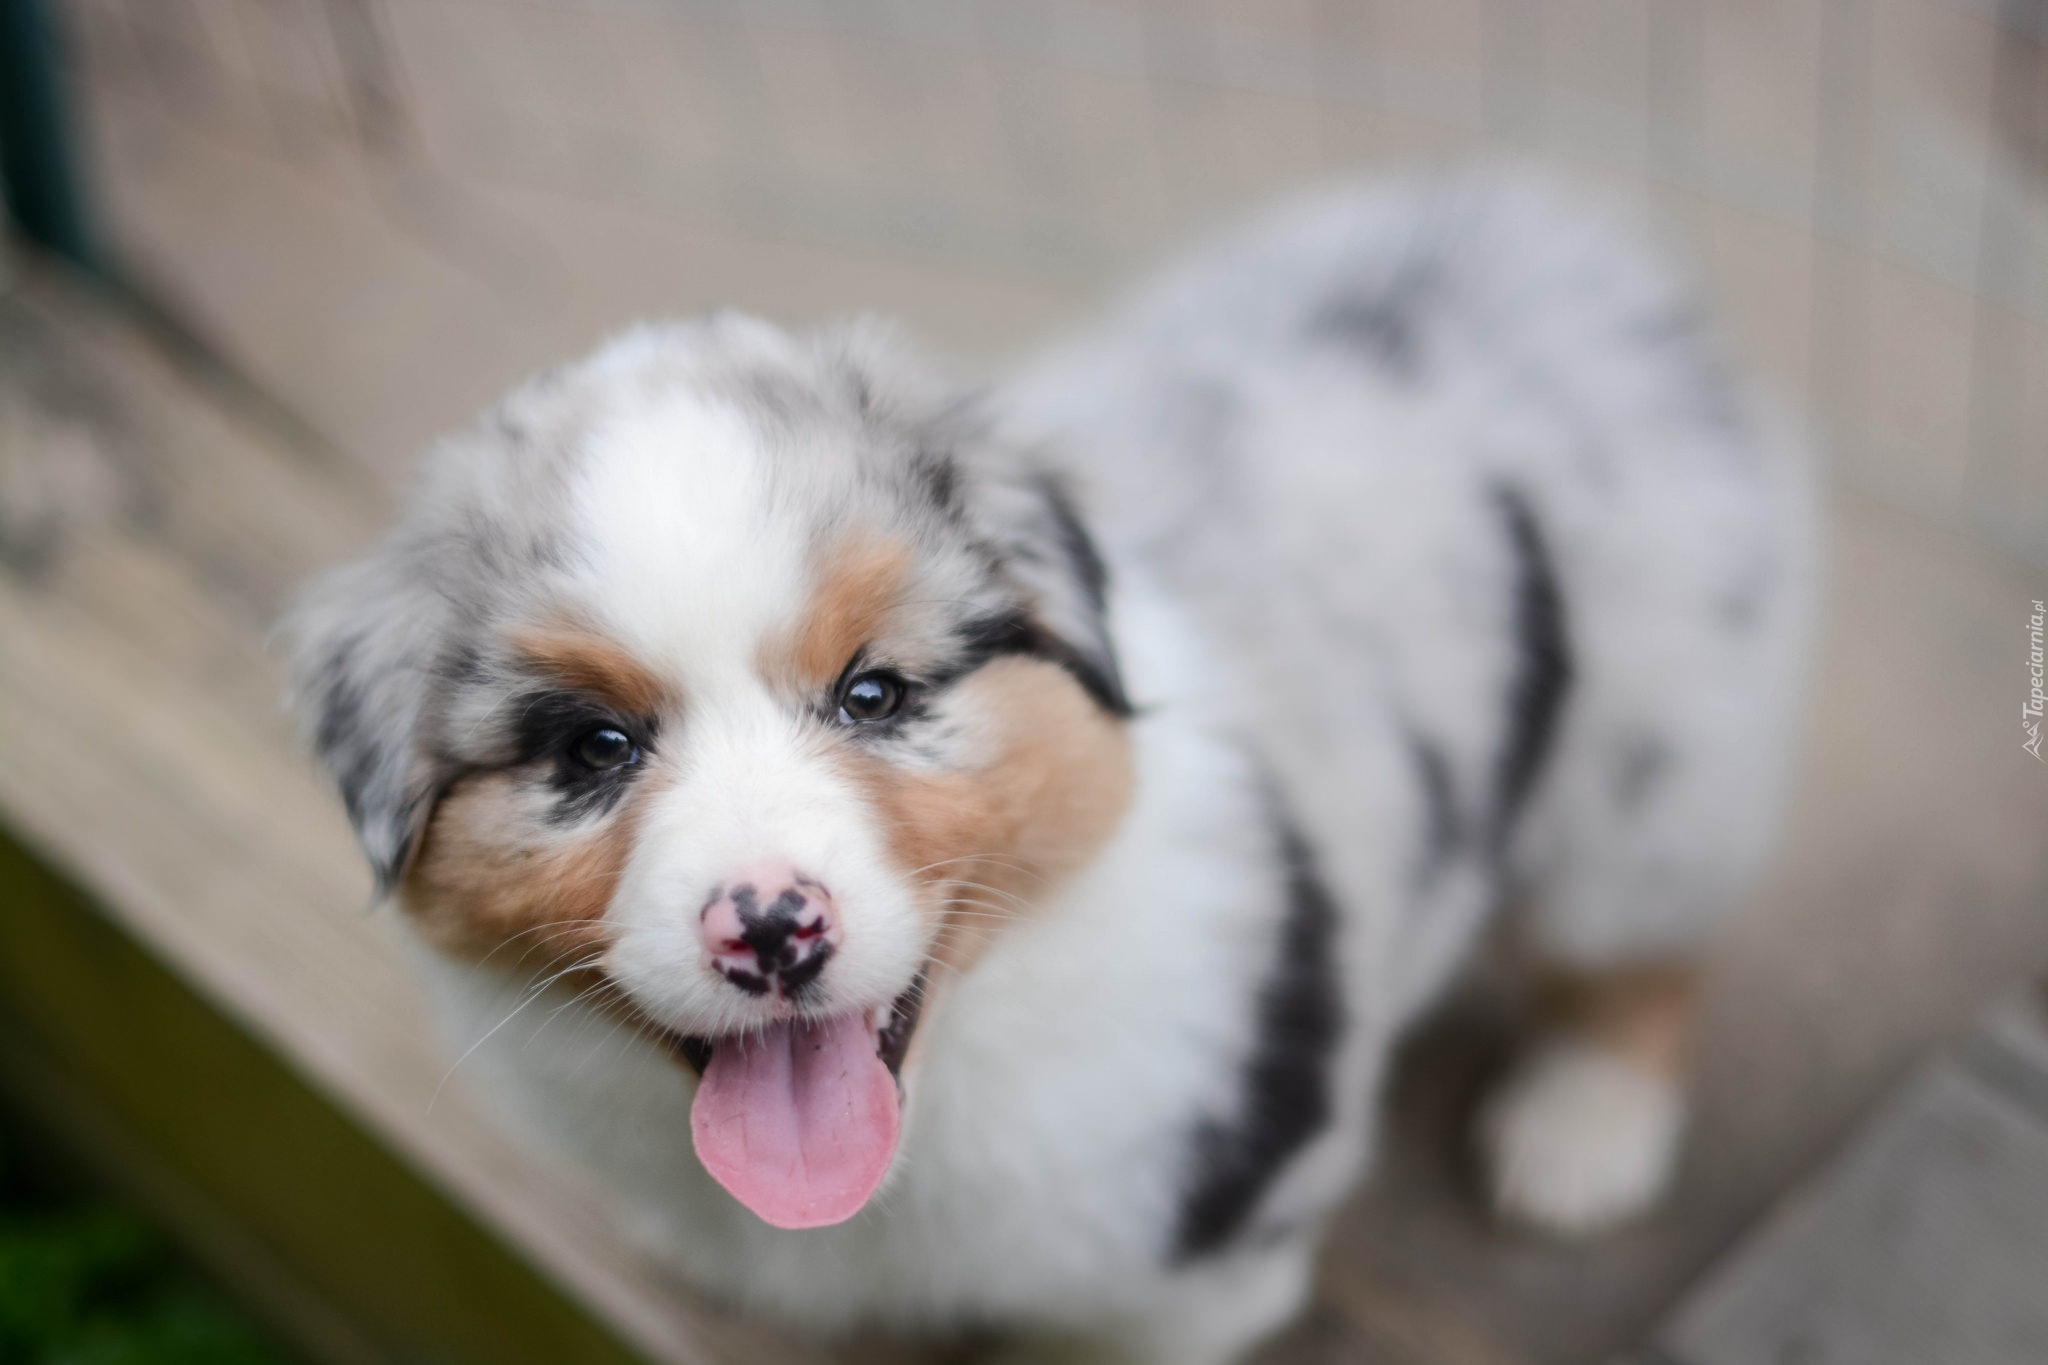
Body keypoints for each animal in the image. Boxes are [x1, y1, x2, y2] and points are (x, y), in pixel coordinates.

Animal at [284, 173, 1810, 1365]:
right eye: (593, 748)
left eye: (876, 693)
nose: (771, 929)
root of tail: (1562, 230)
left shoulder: (1191, 1260)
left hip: (1658, 768)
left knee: (1639, 956)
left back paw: (1579, 1138)